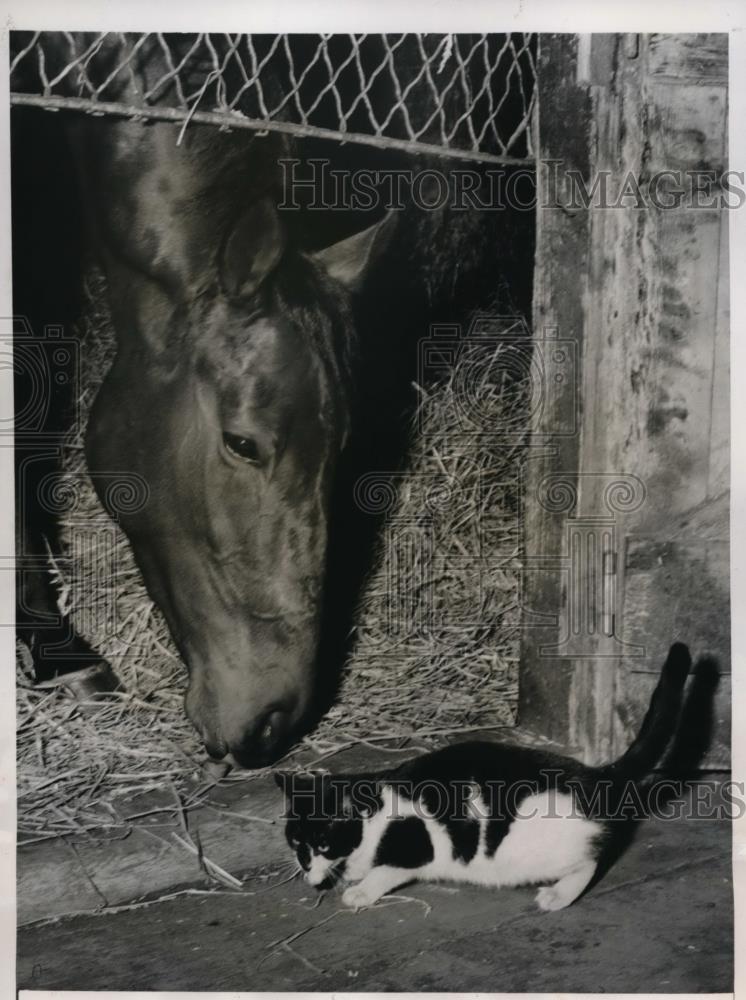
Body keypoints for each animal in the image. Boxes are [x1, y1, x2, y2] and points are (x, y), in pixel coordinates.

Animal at [274, 644, 716, 912]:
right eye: (297, 842)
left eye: (322, 843)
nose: (306, 865)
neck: (374, 818)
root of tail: (593, 776)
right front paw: (340, 874)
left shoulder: (419, 847)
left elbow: (387, 870)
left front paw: (360, 889)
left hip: (545, 848)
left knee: (590, 861)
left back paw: (559, 894)